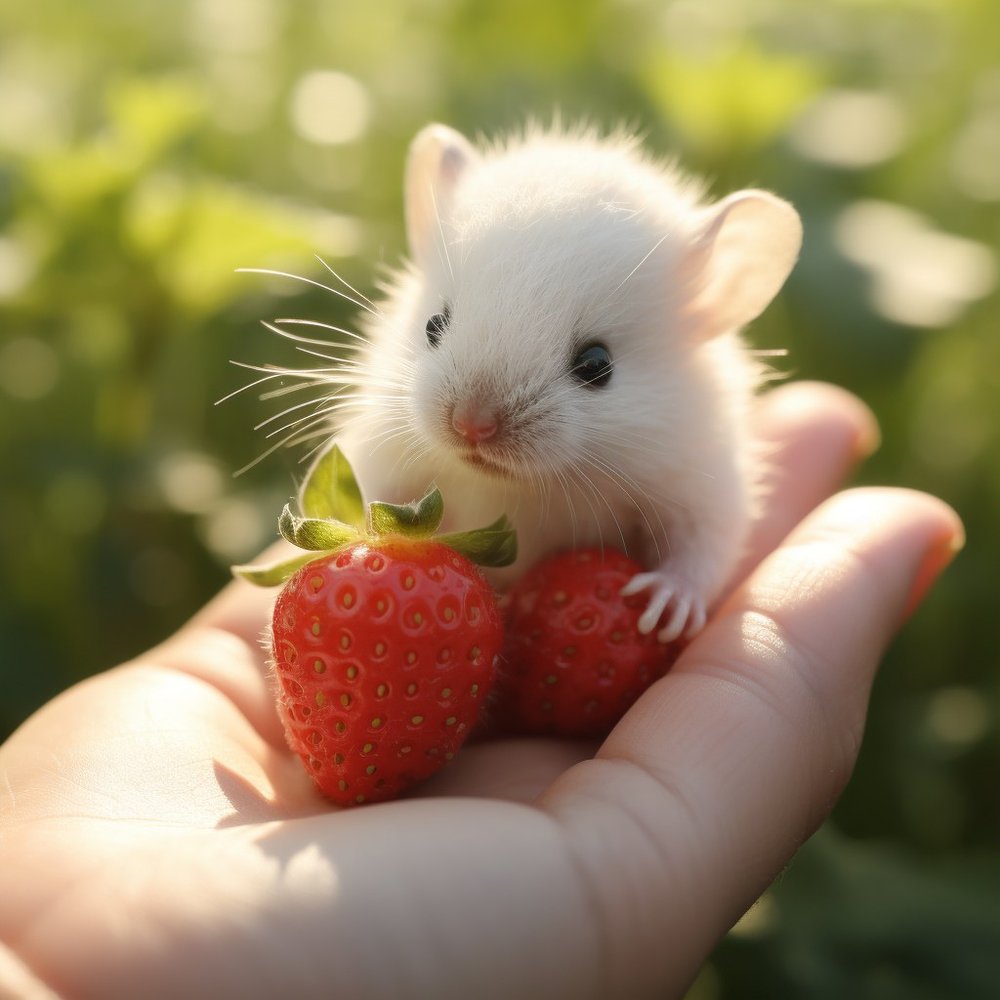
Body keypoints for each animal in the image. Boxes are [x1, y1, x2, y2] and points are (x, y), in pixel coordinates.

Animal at [300, 123, 802, 642]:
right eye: (432, 326)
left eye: (597, 365)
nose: (471, 427)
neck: (521, 486)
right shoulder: (381, 449)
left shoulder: (703, 482)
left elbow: (701, 550)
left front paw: (662, 607)